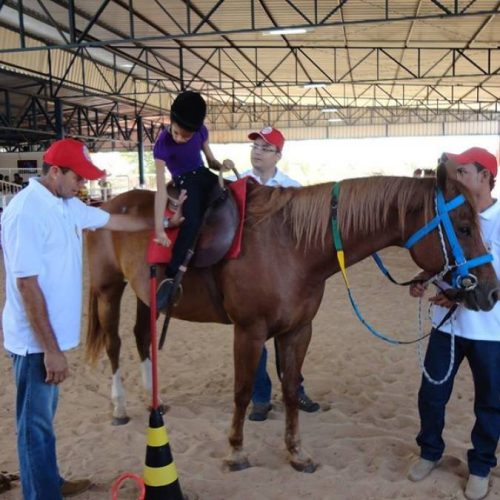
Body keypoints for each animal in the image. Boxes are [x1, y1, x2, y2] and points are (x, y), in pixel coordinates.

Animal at [86, 172, 496, 472]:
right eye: (463, 227)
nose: (491, 292)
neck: (292, 245)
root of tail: (107, 205)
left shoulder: (298, 331)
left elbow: (290, 389)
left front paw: (296, 453)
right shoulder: (249, 332)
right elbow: (243, 390)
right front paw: (236, 452)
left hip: (146, 297)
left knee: (142, 338)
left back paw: (152, 400)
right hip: (109, 290)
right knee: (114, 345)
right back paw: (120, 408)